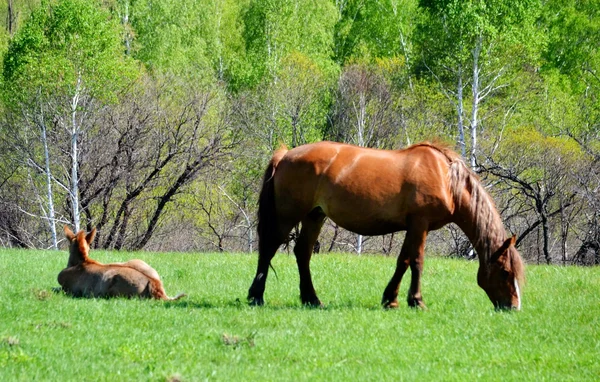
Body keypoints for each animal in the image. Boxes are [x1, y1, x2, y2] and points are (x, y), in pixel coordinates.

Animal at [248, 140, 524, 310]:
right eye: (506, 272)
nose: (514, 307)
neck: (446, 180)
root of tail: (285, 154)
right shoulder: (420, 223)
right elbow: (417, 261)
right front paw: (417, 301)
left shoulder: (412, 227)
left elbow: (403, 261)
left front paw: (391, 299)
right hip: (288, 215)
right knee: (269, 249)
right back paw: (256, 296)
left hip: (314, 216)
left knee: (302, 253)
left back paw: (311, 299)